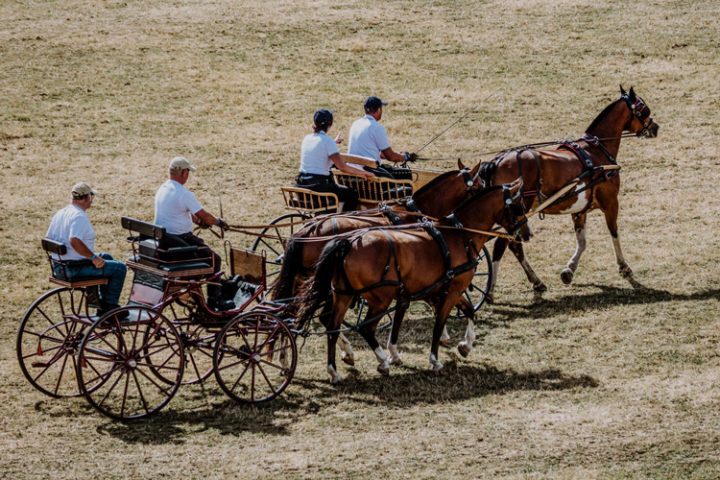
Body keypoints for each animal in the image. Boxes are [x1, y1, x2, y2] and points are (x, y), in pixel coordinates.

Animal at [292, 179, 530, 383]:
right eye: (519, 206)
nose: (526, 233)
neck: (459, 235)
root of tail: (347, 242)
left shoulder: (430, 290)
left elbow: (468, 311)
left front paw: (465, 346)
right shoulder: (452, 289)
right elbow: (440, 322)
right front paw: (434, 359)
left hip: (343, 294)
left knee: (331, 325)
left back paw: (335, 370)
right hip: (379, 298)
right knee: (365, 328)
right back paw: (381, 362)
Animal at [476, 86, 659, 301]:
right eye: (644, 108)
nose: (655, 127)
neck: (595, 151)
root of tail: (496, 161)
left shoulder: (579, 209)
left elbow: (582, 242)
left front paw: (568, 271)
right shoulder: (611, 202)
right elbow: (614, 232)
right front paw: (624, 267)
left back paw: (534, 282)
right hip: (515, 213)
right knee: (505, 246)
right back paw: (495, 289)